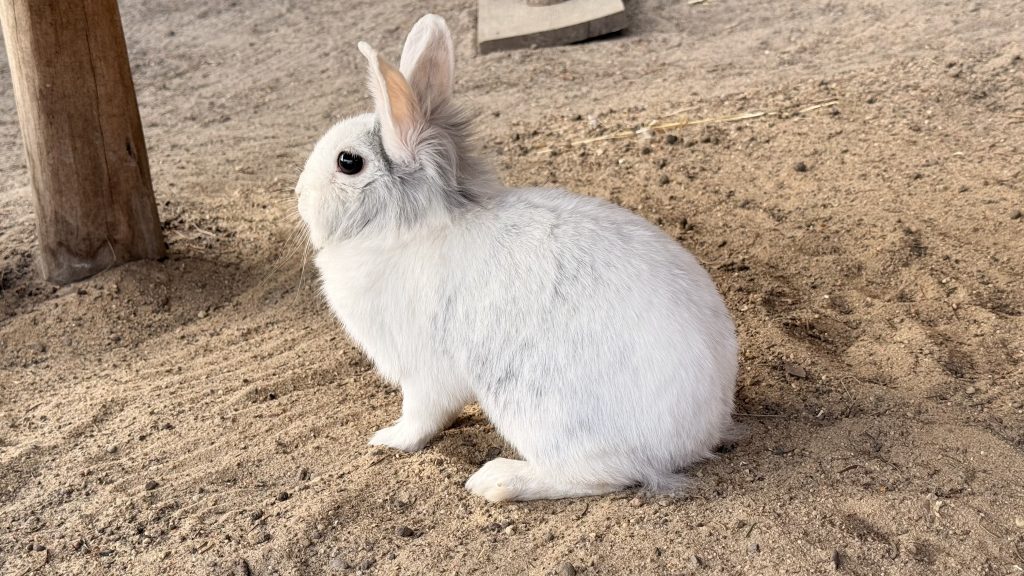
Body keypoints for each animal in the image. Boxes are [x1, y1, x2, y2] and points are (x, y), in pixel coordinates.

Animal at [295, 14, 738, 501]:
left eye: (348, 162)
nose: (298, 196)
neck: (405, 230)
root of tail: (697, 436)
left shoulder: (425, 372)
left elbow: (421, 416)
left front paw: (388, 439)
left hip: (536, 408)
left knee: (602, 472)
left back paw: (497, 479)